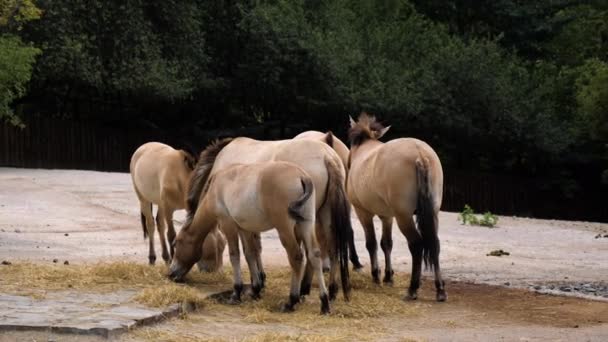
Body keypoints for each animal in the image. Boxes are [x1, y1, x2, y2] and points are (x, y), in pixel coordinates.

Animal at [129, 142, 226, 270]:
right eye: (213, 249)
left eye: (223, 246)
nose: (217, 271)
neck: (180, 176)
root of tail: (142, 147)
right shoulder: (168, 208)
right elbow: (171, 235)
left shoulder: (178, 206)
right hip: (143, 199)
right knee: (151, 224)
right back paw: (152, 258)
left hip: (160, 204)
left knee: (160, 224)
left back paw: (166, 257)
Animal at [169, 162, 332, 314]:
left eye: (176, 243)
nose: (171, 273)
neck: (216, 188)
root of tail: (302, 176)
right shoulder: (245, 229)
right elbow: (250, 254)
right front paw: (256, 289)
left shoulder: (228, 224)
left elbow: (235, 255)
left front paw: (236, 293)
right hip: (306, 224)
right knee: (314, 255)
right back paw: (324, 303)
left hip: (285, 229)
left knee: (296, 257)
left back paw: (291, 301)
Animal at [183, 138, 352, 300]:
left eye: (179, 242)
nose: (212, 271)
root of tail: (327, 156)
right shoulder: (248, 220)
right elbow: (255, 248)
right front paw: (259, 281)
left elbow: (248, 250)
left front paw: (256, 282)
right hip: (324, 214)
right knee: (331, 247)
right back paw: (330, 290)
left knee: (305, 252)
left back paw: (303, 289)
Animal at [346, 113, 446, 300]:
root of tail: (420, 154)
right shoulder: (387, 216)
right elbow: (386, 243)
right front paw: (388, 276)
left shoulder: (363, 213)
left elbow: (371, 243)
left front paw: (376, 275)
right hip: (432, 213)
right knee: (434, 244)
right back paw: (440, 290)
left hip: (404, 216)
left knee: (416, 245)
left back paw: (412, 289)